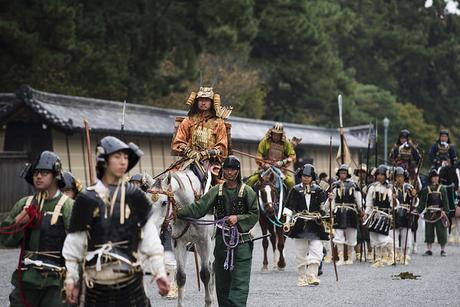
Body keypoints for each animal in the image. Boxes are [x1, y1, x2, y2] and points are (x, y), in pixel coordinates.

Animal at [162, 170, 217, 307]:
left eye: (164, 202)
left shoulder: (205, 241)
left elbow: (205, 274)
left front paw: (208, 302)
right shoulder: (178, 242)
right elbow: (181, 276)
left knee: (211, 266)